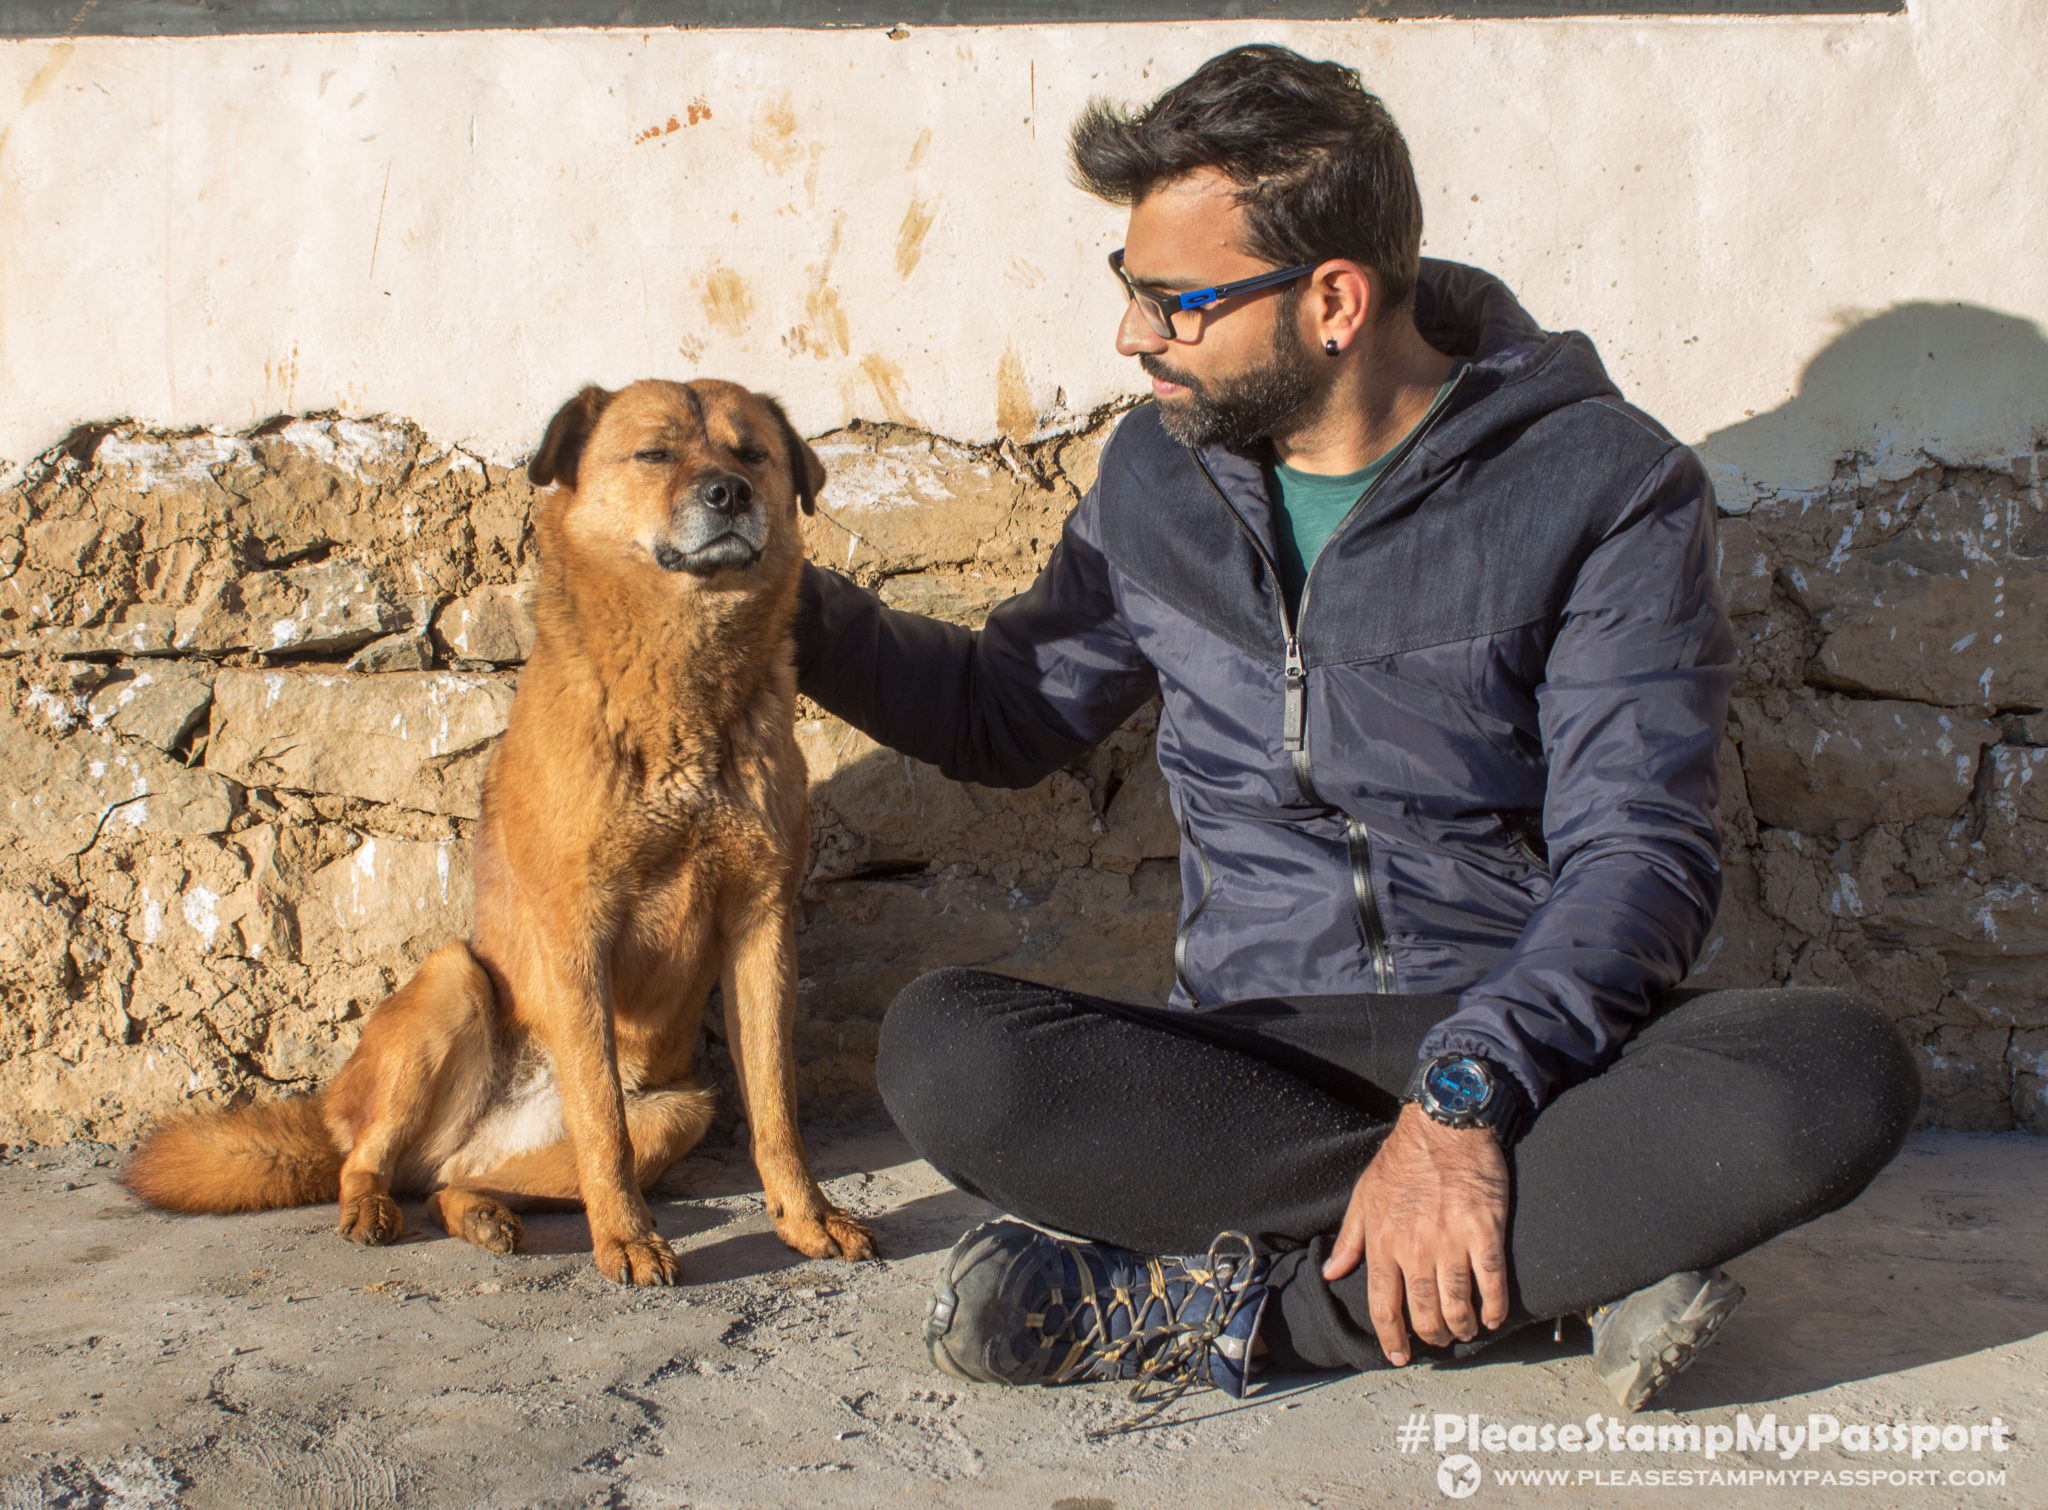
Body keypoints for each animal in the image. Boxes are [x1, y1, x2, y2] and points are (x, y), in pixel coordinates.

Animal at [119, 379, 872, 1286]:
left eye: (752, 453)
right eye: (656, 452)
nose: (730, 494)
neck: (681, 693)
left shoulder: (760, 926)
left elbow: (774, 1106)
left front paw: (806, 1218)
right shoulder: (578, 931)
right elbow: (601, 1119)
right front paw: (627, 1238)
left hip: (678, 1111)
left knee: (455, 1181)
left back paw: (480, 1215)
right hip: (452, 983)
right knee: (370, 1162)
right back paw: (370, 1208)